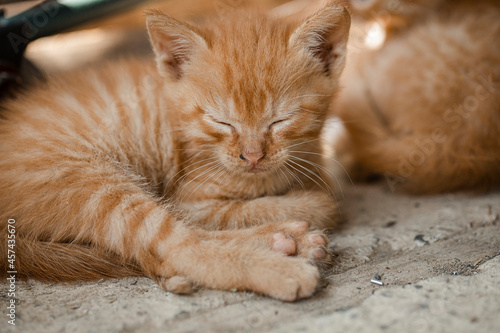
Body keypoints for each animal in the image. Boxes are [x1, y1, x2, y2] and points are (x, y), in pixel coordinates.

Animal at [0, 5, 352, 300]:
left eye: (281, 120)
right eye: (221, 121)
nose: (252, 157)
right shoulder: (187, 198)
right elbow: (316, 204)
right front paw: (305, 203)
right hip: (91, 179)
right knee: (177, 243)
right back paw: (281, 257)